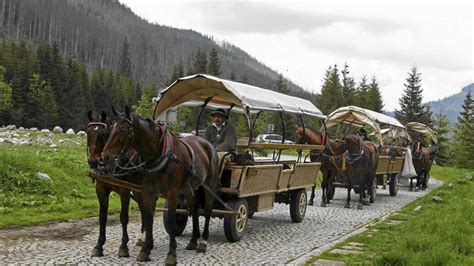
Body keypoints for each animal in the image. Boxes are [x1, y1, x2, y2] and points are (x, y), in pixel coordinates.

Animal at [85, 110, 143, 258]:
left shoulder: (124, 191)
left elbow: (124, 217)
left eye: (103, 133)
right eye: (88, 132)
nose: (93, 161)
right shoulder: (101, 190)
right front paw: (99, 246)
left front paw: (123, 247)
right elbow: (102, 217)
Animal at [103, 106, 219, 264]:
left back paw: (203, 242)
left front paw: (171, 254)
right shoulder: (148, 192)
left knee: (207, 210)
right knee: (194, 209)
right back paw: (193, 241)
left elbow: (170, 222)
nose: (105, 156)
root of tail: (207, 143)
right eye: (110, 129)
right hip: (189, 189)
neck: (160, 155)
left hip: (209, 185)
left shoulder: (172, 193)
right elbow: (148, 218)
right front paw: (145, 250)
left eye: (123, 129)